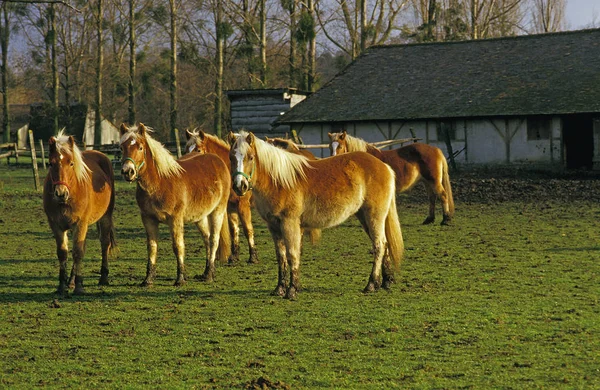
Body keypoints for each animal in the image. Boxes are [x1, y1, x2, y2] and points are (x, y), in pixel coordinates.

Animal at [42, 131, 116, 296]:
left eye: (71, 163)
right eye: (50, 163)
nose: (60, 193)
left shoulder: (80, 223)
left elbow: (78, 252)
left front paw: (79, 286)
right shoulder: (56, 225)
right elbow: (63, 252)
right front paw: (62, 286)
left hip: (105, 217)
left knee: (104, 243)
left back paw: (103, 277)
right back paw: (71, 281)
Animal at [118, 123, 231, 284]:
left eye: (140, 147)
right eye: (122, 147)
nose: (128, 171)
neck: (160, 182)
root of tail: (218, 160)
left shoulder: (175, 219)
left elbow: (178, 246)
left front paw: (180, 278)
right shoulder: (148, 219)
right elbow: (152, 247)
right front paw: (148, 279)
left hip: (217, 212)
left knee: (214, 240)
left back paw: (209, 275)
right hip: (200, 217)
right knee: (207, 238)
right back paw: (207, 271)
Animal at [183, 129, 258, 264]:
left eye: (198, 150)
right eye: (186, 150)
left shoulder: (243, 205)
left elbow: (247, 229)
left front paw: (253, 257)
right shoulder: (230, 207)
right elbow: (234, 230)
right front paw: (234, 257)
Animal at [227, 131, 406, 298]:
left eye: (250, 157)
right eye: (231, 158)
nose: (240, 186)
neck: (279, 182)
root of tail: (384, 166)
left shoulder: (289, 224)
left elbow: (292, 254)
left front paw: (292, 290)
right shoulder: (274, 227)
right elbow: (281, 256)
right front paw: (280, 288)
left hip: (374, 216)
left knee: (379, 245)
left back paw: (371, 284)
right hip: (364, 217)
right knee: (384, 244)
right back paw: (385, 281)